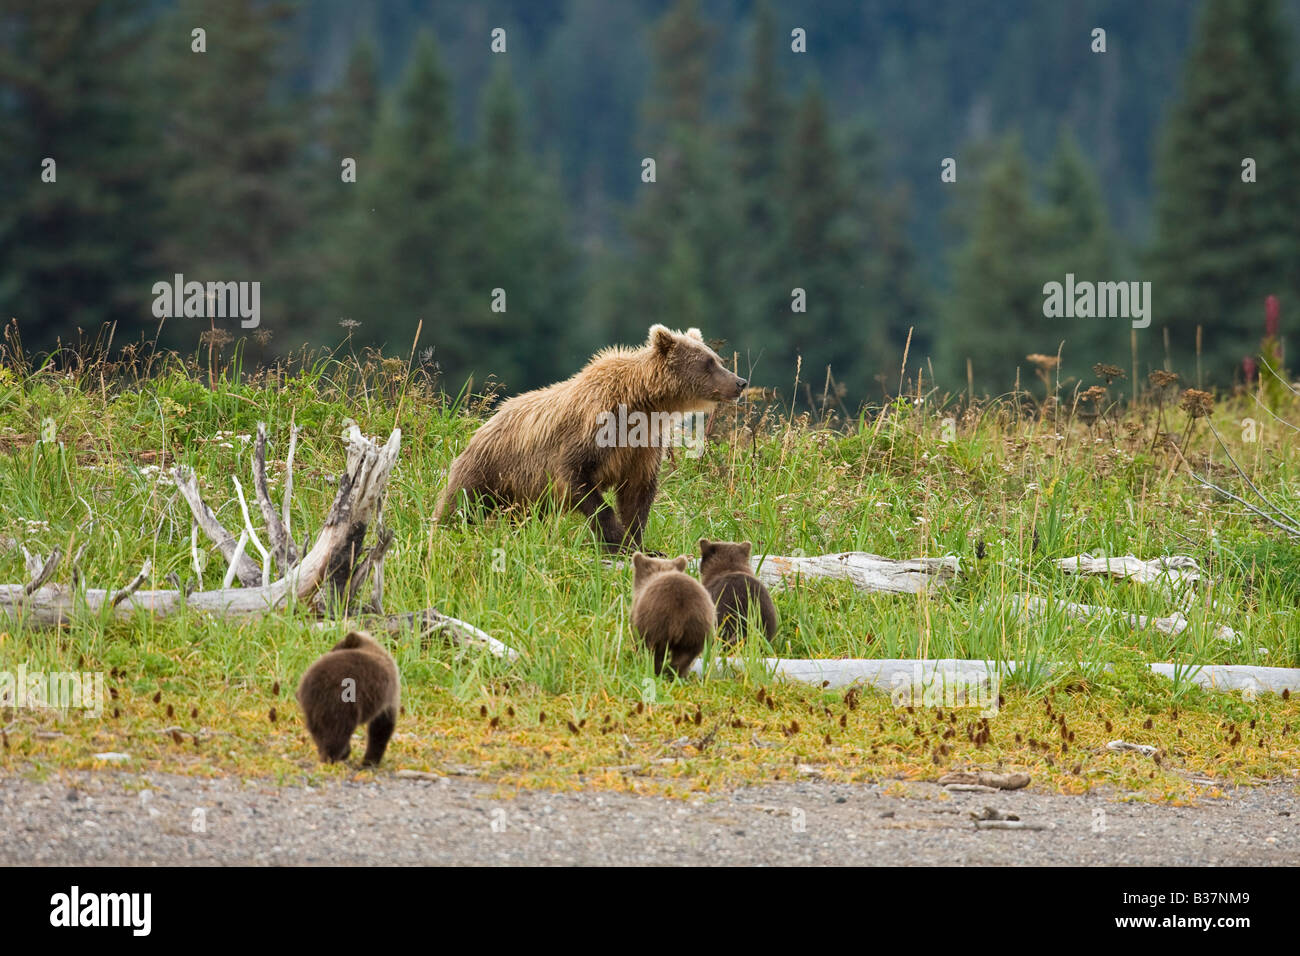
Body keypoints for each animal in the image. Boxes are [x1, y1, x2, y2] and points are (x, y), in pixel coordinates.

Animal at [296, 631, 400, 767]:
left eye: (334, 647)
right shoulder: (389, 695)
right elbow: (381, 726)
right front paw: (370, 760)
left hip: (312, 708)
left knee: (318, 730)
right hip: (343, 702)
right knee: (338, 730)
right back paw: (334, 756)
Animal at [433, 325, 747, 553]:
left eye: (717, 359)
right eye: (708, 362)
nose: (740, 382)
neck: (642, 405)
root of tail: (485, 424)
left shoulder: (643, 445)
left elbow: (637, 494)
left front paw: (637, 541)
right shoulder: (593, 431)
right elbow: (577, 479)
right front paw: (616, 539)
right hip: (491, 468)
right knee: (460, 503)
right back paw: (443, 527)